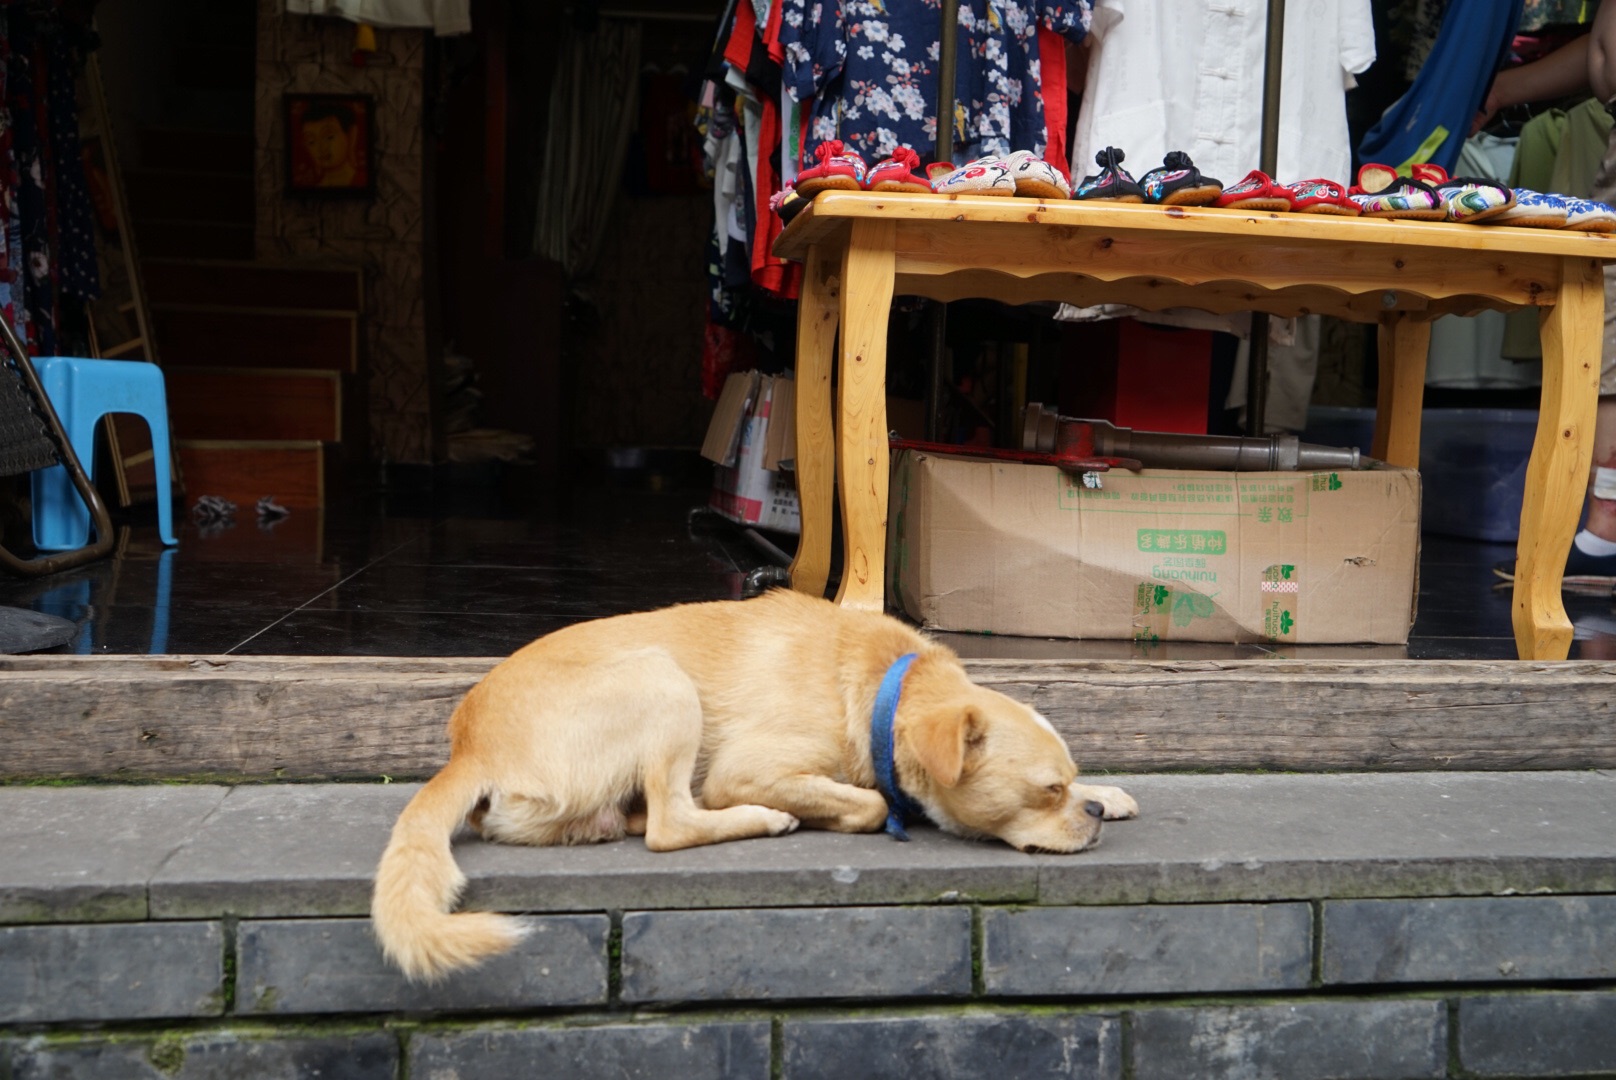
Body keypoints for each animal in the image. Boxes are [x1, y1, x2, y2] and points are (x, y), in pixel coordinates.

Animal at [374, 585, 1137, 982]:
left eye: (1070, 782)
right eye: (1046, 791)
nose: (1091, 813)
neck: (891, 689)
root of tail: (468, 743)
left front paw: (1115, 793)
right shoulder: (750, 768)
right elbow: (867, 802)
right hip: (661, 681)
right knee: (671, 823)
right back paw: (759, 819)